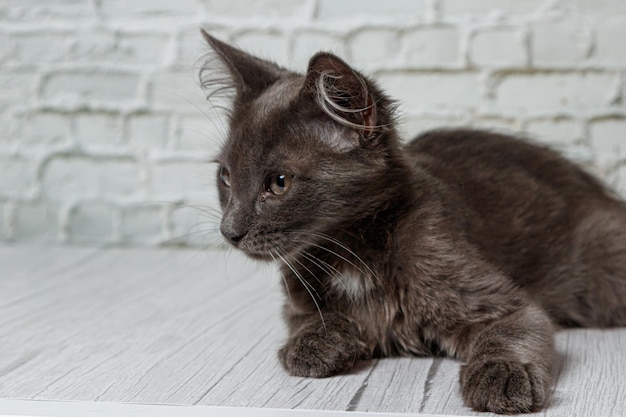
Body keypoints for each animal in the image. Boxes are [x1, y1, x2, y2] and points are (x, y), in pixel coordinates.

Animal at [199, 30, 624, 412]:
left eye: (279, 183)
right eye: (225, 177)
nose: (229, 231)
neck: (351, 251)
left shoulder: (501, 300)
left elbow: (513, 330)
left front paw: (502, 375)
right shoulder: (296, 300)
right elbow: (307, 321)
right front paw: (315, 344)